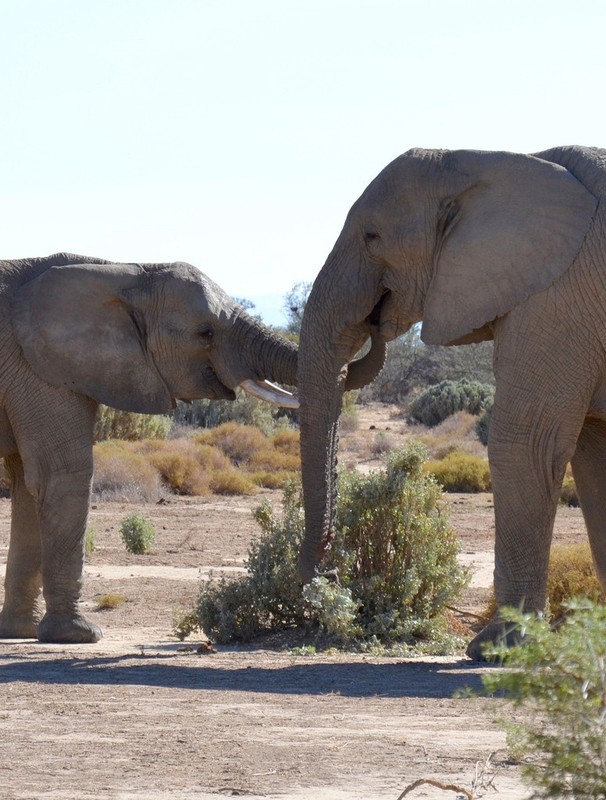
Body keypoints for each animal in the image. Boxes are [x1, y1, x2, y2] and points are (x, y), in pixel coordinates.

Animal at [0, 255, 300, 644]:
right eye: (205, 333)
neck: (125, 271)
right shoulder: (38, 370)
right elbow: (63, 475)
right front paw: (78, 634)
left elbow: (27, 484)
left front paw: (20, 631)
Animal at [300, 147, 606, 660]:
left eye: (371, 236)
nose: (329, 576)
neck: (486, 160)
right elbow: (594, 454)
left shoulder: (558, 296)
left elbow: (525, 443)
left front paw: (495, 650)